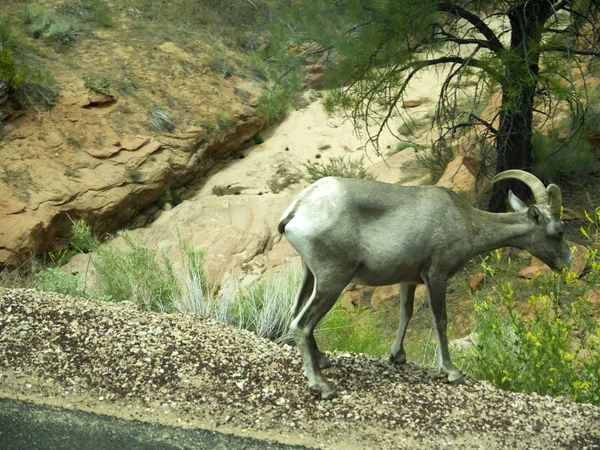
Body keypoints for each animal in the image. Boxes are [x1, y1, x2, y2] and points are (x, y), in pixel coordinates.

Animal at [278, 171, 576, 400]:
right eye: (559, 231)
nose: (568, 262)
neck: (468, 221)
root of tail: (297, 209)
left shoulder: (408, 280)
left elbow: (406, 314)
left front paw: (397, 356)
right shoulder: (437, 276)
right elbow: (440, 320)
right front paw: (451, 372)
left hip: (311, 276)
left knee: (295, 313)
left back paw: (323, 360)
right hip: (332, 280)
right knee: (302, 323)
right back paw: (323, 387)